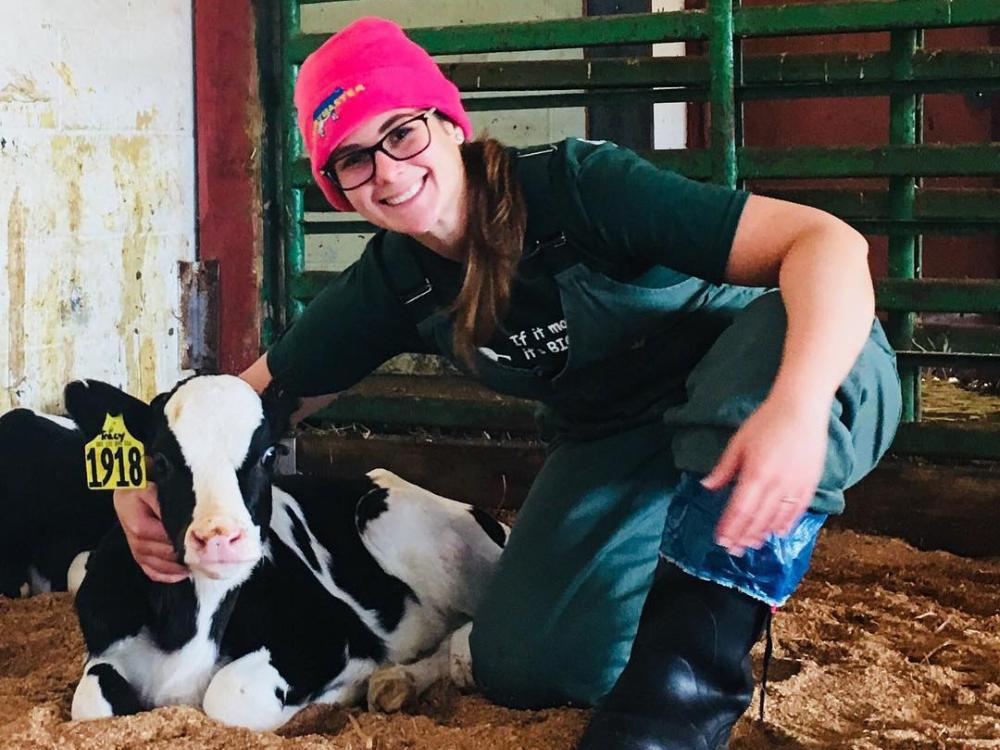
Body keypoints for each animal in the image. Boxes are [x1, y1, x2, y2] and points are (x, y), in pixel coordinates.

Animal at [56, 378, 508, 732]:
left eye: (269, 455)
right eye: (161, 459)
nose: (219, 536)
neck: (188, 630)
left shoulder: (329, 637)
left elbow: (226, 696)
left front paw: (344, 690)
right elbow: (92, 703)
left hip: (396, 525)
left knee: (463, 636)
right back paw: (393, 684)